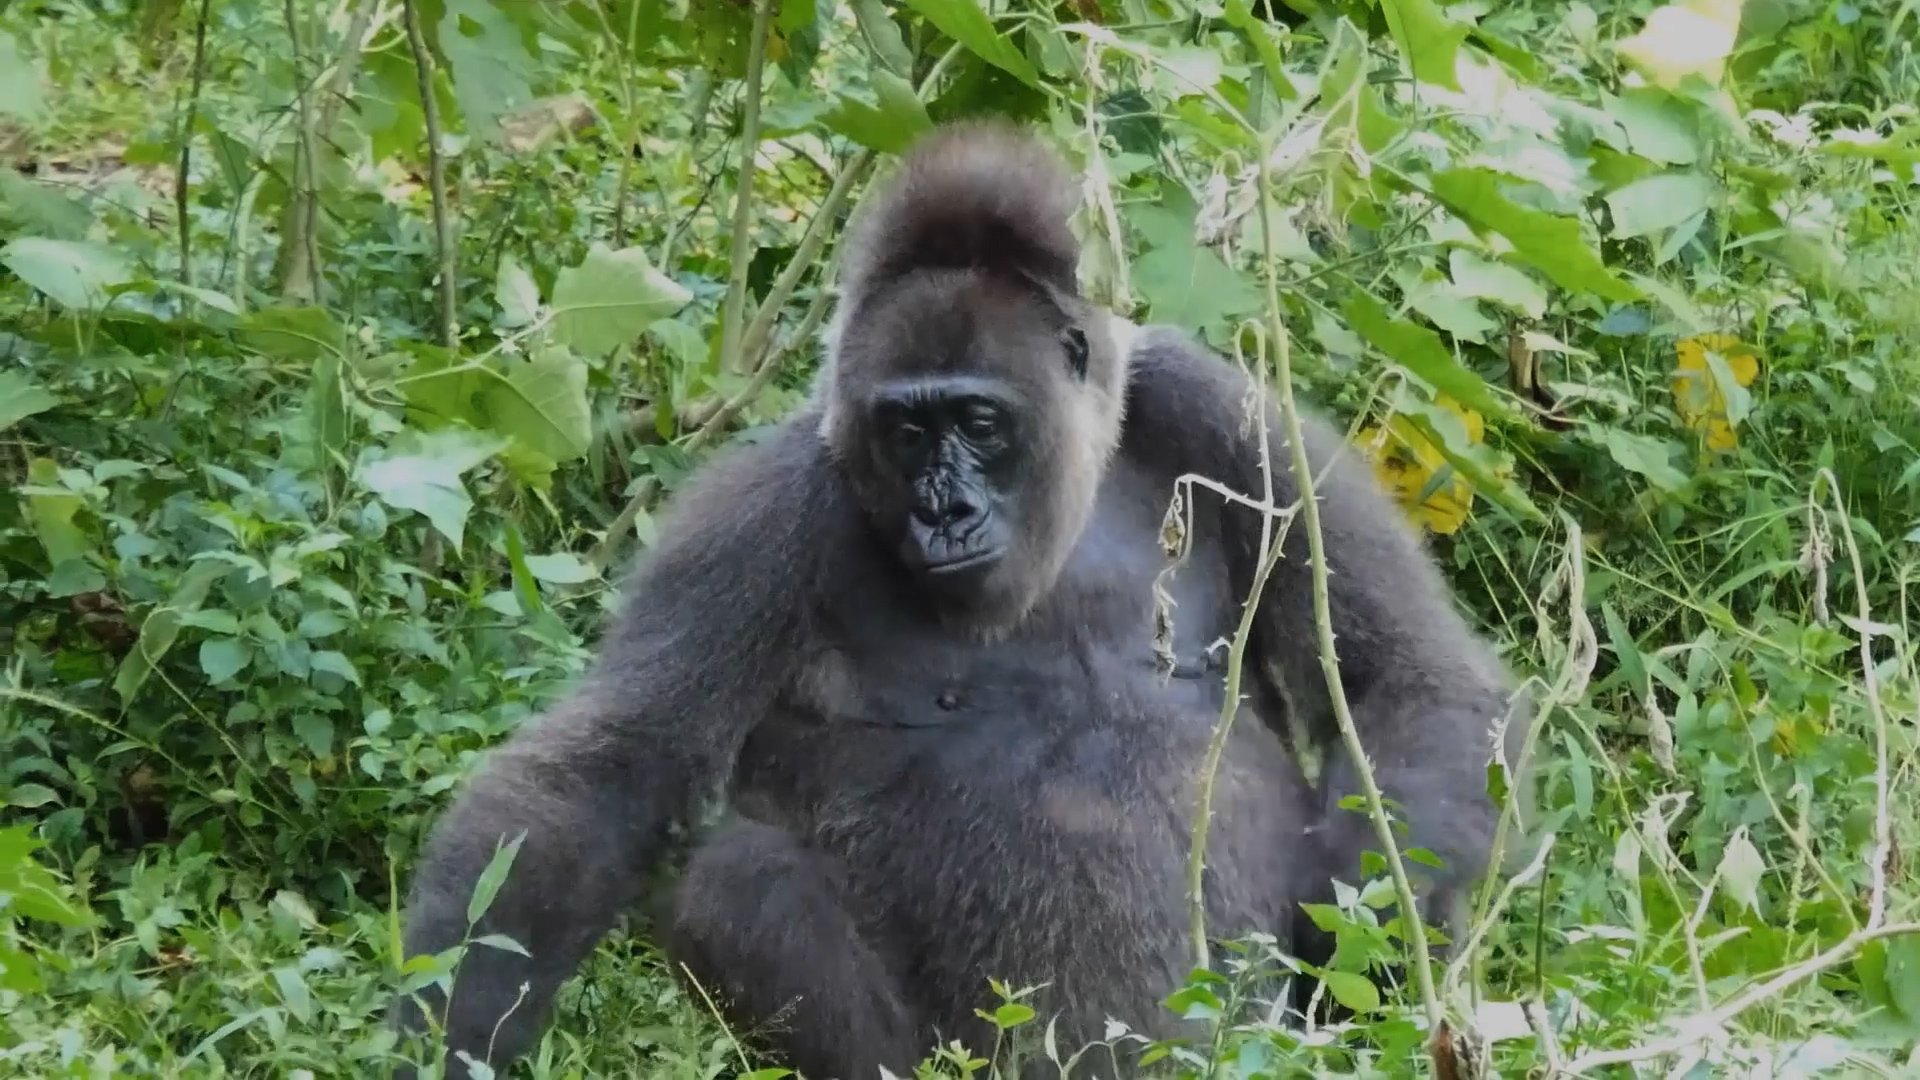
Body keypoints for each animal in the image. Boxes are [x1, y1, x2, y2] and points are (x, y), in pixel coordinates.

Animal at [392, 120, 1521, 1078]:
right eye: (906, 432)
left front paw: (1364, 930)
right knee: (738, 883)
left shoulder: (1235, 416)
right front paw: (448, 1038)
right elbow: (608, 777)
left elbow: (1410, 680)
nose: (945, 511)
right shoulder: (762, 507)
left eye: (978, 424)